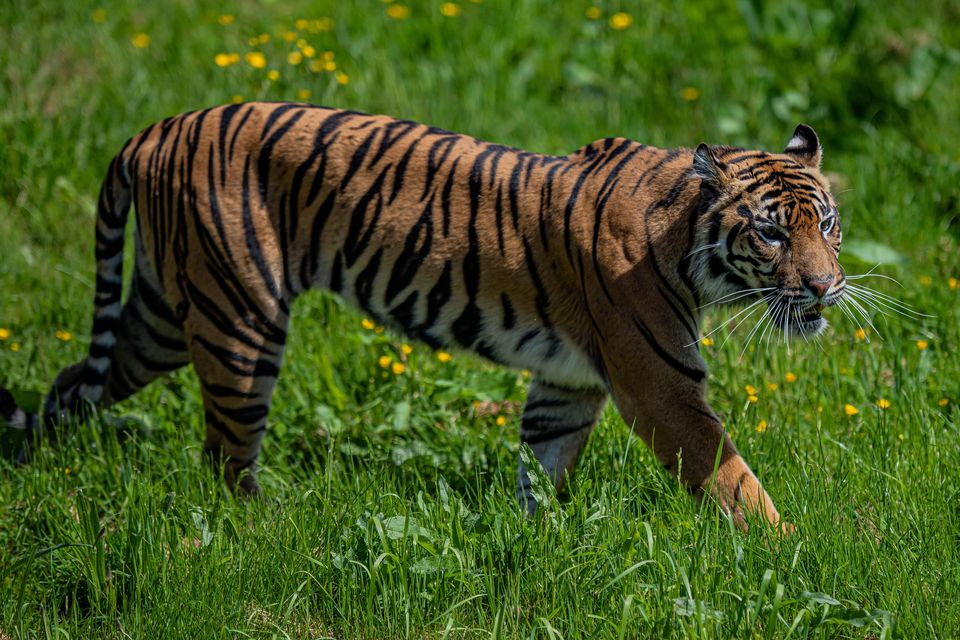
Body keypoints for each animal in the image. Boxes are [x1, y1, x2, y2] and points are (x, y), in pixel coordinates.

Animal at [0, 104, 840, 528]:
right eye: (771, 233)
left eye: (827, 224)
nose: (827, 289)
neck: (685, 241)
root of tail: (154, 130)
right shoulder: (659, 387)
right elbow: (731, 477)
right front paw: (789, 552)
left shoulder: (568, 383)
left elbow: (543, 463)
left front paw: (536, 539)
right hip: (240, 318)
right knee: (223, 460)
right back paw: (264, 527)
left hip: (164, 316)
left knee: (73, 383)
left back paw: (33, 462)